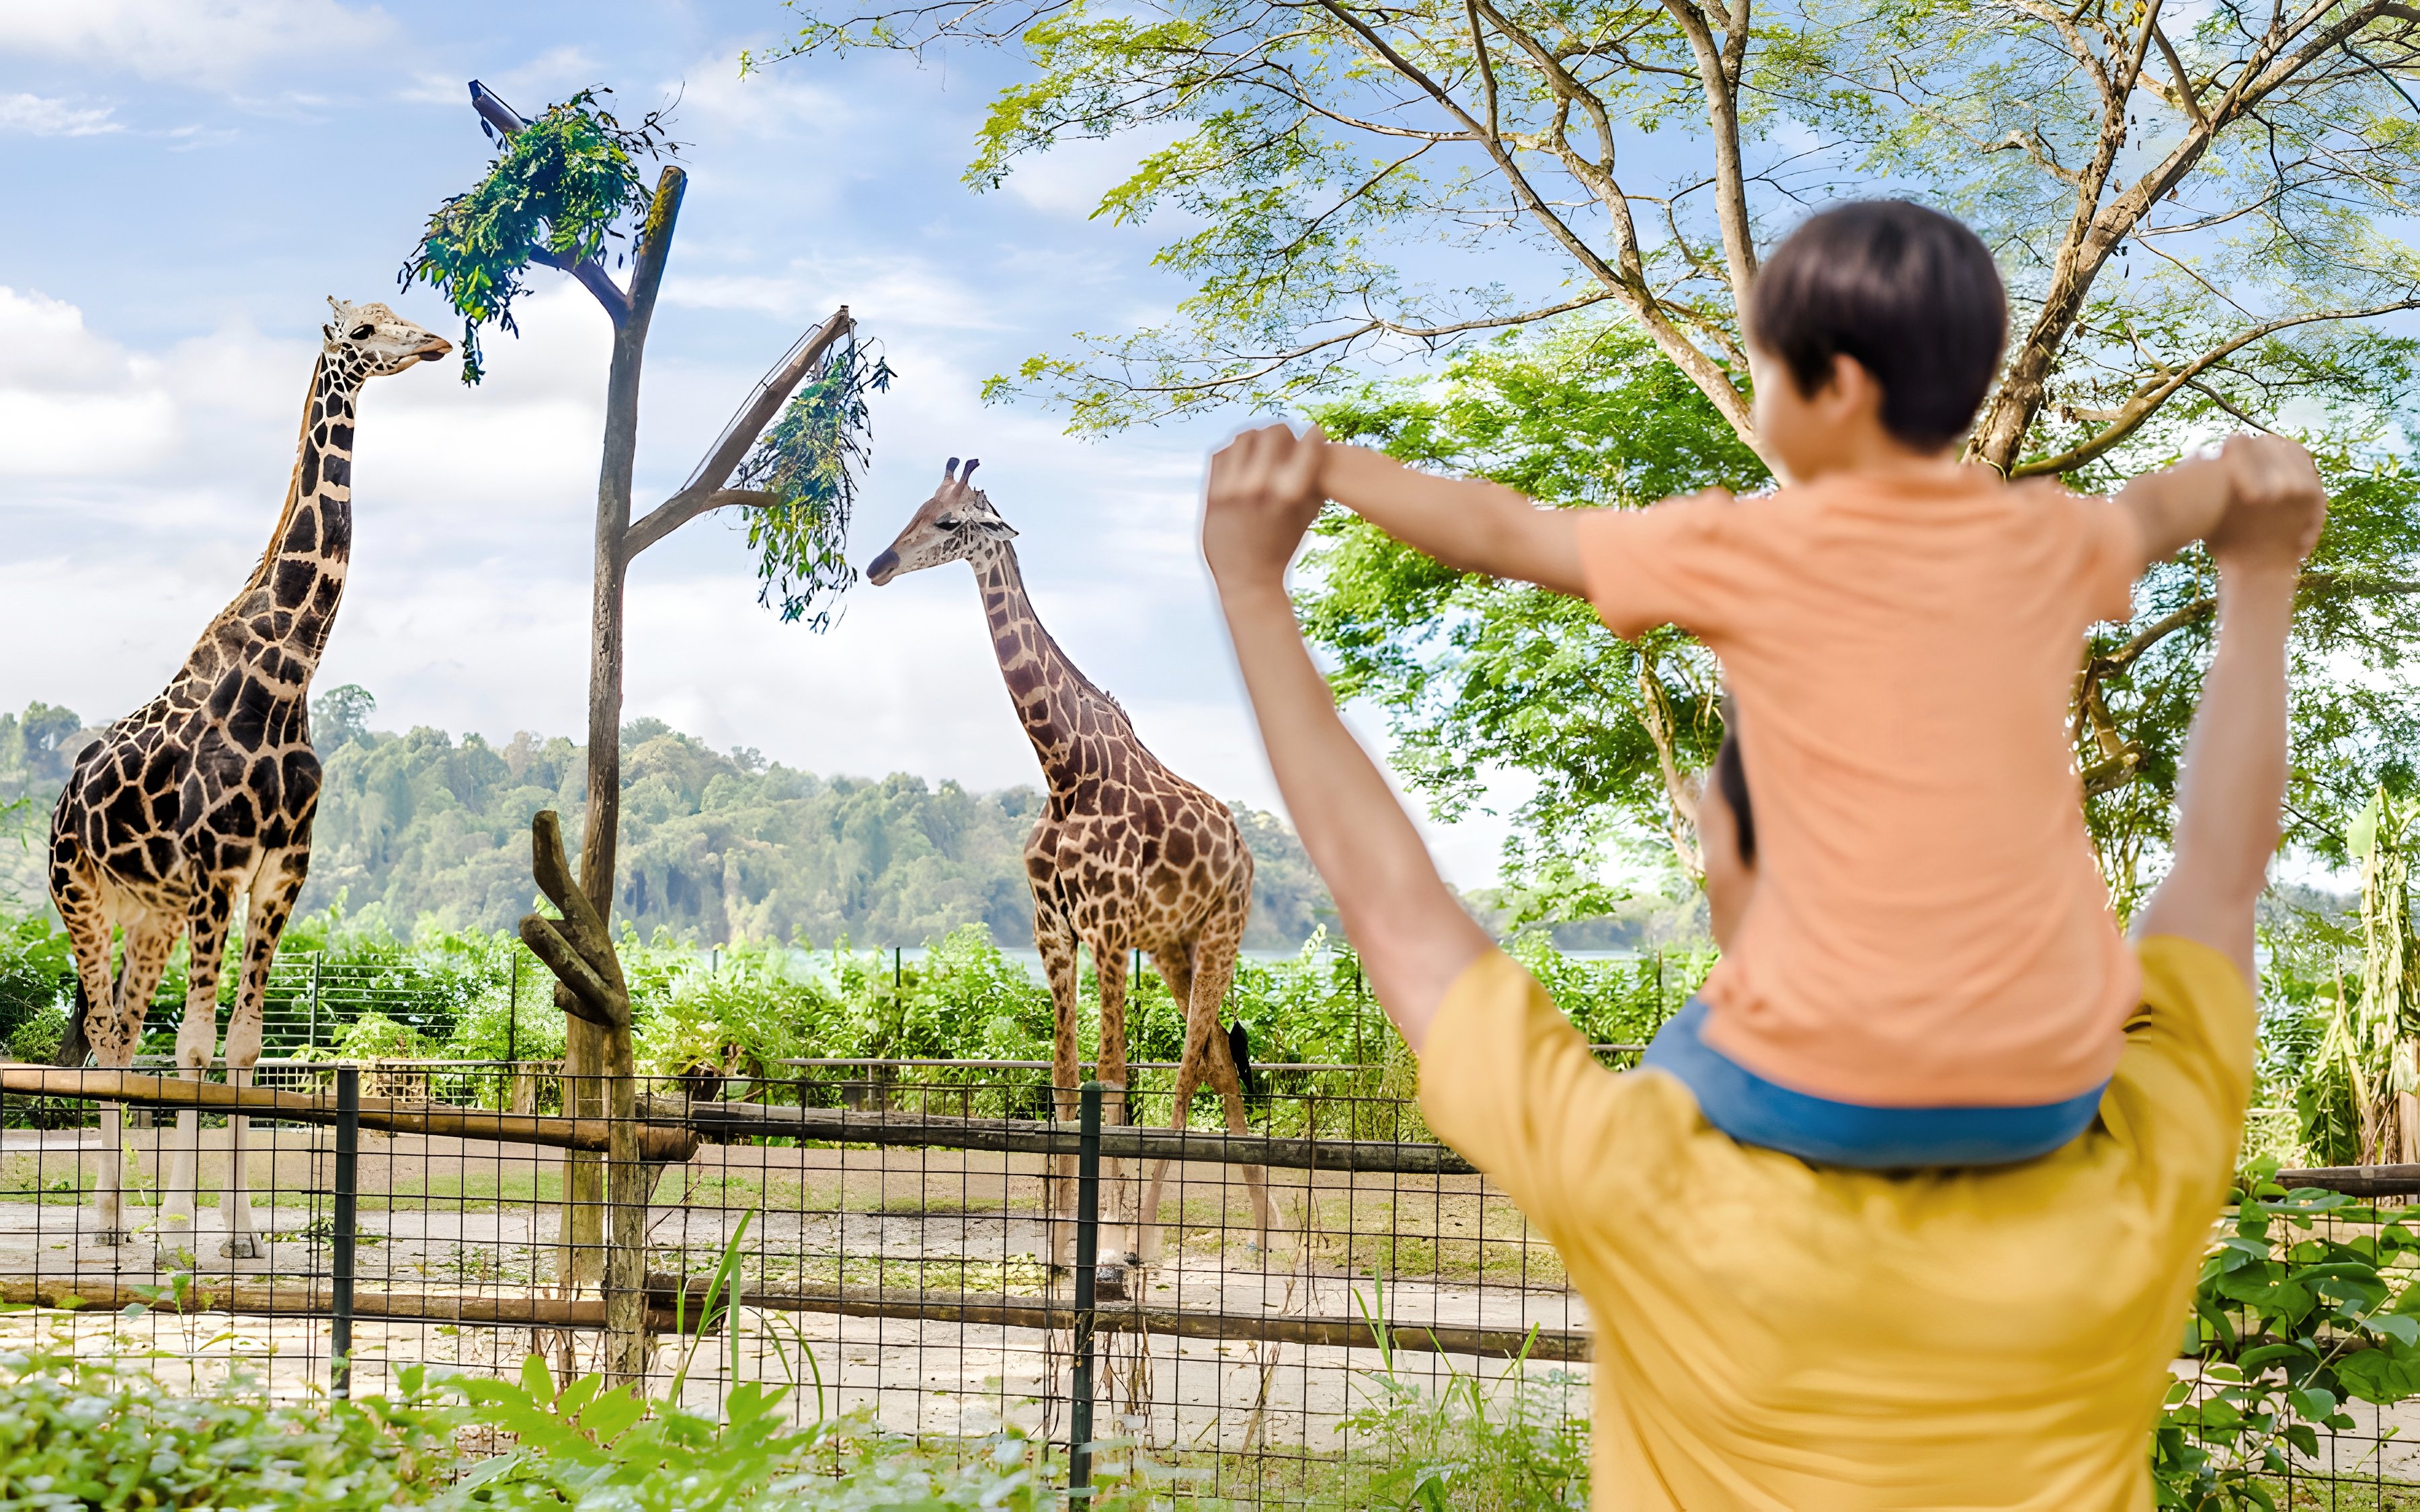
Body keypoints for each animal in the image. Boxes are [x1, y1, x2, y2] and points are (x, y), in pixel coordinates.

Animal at [48, 299, 450, 1253]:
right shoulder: (216, 870)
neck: (288, 677)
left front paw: (236, 1231)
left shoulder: (279, 875)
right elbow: (194, 1048)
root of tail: (62, 800)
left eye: (397, 315)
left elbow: (239, 1048)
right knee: (108, 1033)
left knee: (124, 1033)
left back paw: (120, 1217)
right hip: (81, 897)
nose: (435, 342)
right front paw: (183, 1224)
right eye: (365, 329)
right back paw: (112, 1221)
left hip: (149, 916)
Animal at [868, 458, 1273, 1270]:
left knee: (1188, 1071)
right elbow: (1061, 1082)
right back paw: (1274, 1234)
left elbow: (1112, 1081)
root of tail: (1244, 854)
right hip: (1176, 948)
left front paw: (1108, 1241)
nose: (878, 566)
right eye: (917, 507)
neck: (1064, 769)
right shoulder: (1053, 929)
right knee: (1219, 1060)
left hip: (1222, 935)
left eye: (950, 522)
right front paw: (1059, 1246)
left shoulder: (1108, 928)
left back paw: (1149, 1239)